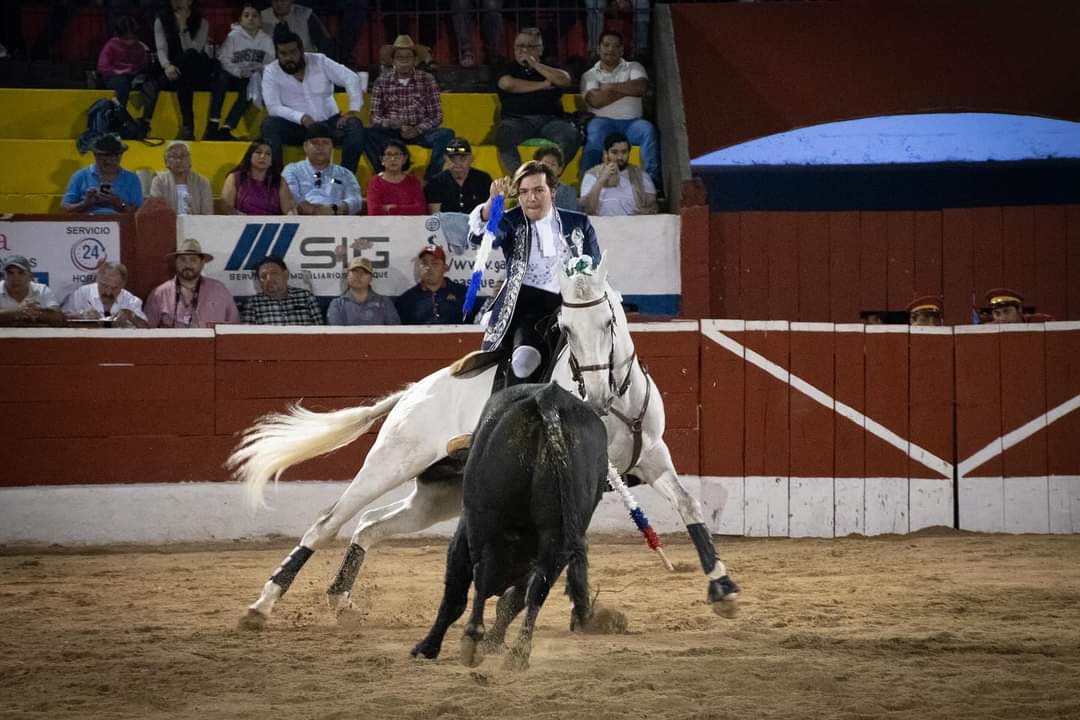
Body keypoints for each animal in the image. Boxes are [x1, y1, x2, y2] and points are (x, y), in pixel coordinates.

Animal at [231, 255, 738, 626]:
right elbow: (571, 538)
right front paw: (573, 611)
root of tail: (412, 392)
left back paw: (340, 598)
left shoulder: (653, 457)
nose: (593, 395)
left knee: (371, 525)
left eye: (609, 324)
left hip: (440, 494)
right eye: (566, 330)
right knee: (329, 521)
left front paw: (722, 586)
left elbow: (688, 504)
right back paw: (262, 604)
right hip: (391, 461)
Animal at [408, 382, 609, 669]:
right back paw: (519, 654)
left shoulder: (463, 534)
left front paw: (427, 647)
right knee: (539, 587)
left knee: (482, 572)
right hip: (558, 534)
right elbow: (515, 600)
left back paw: (473, 639)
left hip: (484, 517)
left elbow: (456, 594)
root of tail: (549, 396)